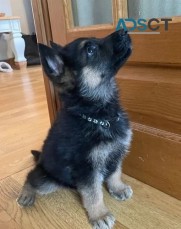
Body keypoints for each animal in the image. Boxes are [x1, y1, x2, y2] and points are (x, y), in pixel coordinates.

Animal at [17, 29, 133, 228]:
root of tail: (40, 160)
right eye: (90, 50)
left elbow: (115, 173)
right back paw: (26, 193)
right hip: (48, 181)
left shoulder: (116, 152)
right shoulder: (86, 169)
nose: (124, 30)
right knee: (31, 177)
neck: (99, 116)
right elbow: (93, 194)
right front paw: (99, 215)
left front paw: (117, 188)